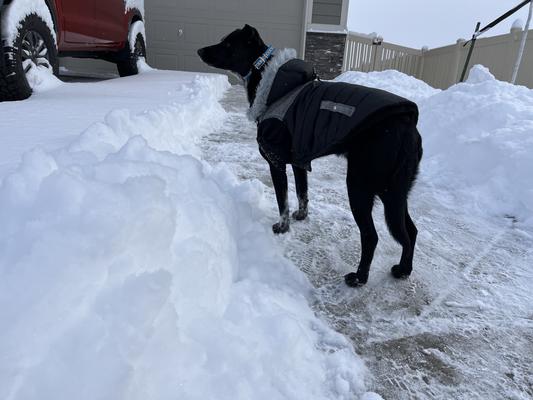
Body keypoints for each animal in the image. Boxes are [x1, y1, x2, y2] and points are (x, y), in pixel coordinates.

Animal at [197, 25, 422, 286]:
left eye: (228, 44)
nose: (200, 50)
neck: (269, 79)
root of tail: (406, 125)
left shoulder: (276, 162)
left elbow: (282, 200)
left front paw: (282, 227)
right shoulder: (299, 162)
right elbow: (302, 193)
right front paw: (301, 216)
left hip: (361, 186)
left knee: (371, 235)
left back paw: (359, 278)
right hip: (395, 191)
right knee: (411, 231)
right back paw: (404, 269)